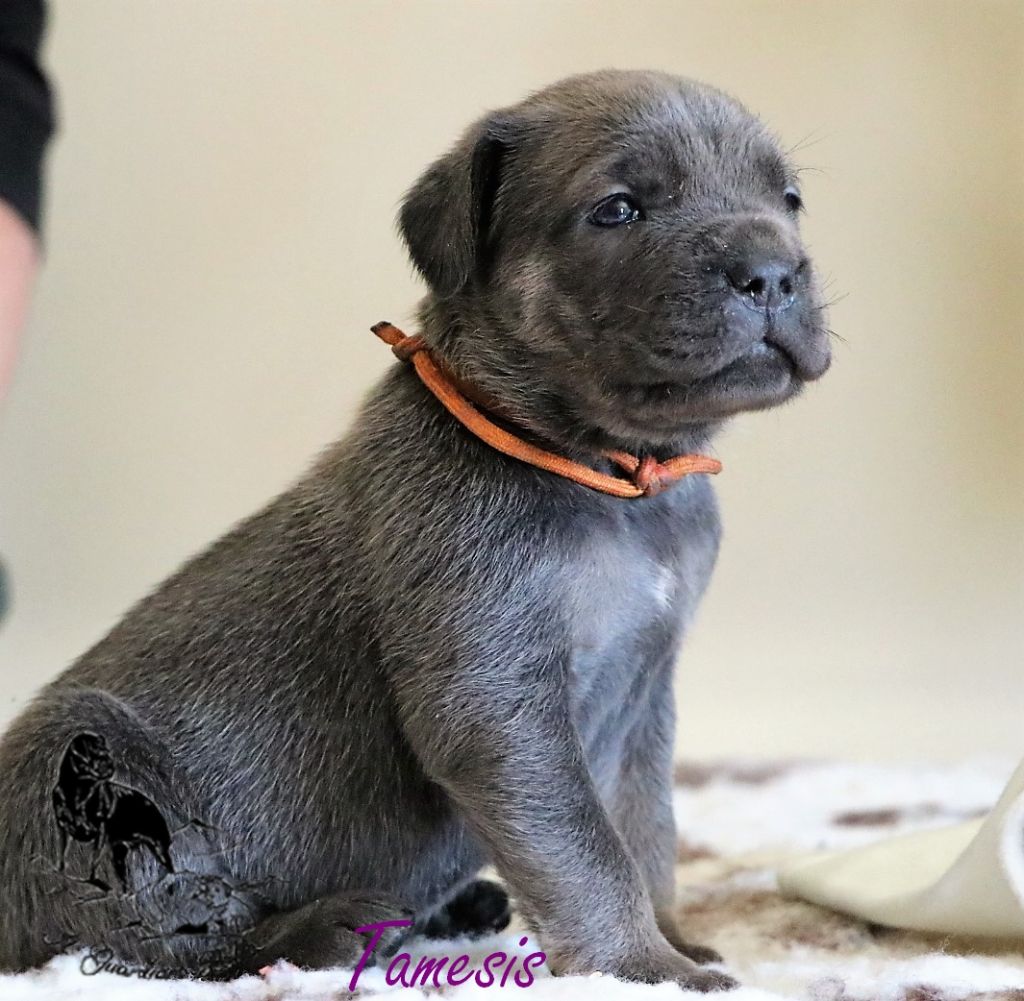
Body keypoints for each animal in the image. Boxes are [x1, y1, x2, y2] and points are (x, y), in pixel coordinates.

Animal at [0, 69, 829, 988]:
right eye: (618, 209)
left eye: (790, 200)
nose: (772, 272)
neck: (606, 471)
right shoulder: (498, 698)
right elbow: (589, 847)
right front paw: (643, 966)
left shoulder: (639, 697)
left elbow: (643, 827)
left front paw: (673, 937)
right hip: (79, 761)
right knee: (134, 940)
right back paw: (330, 929)